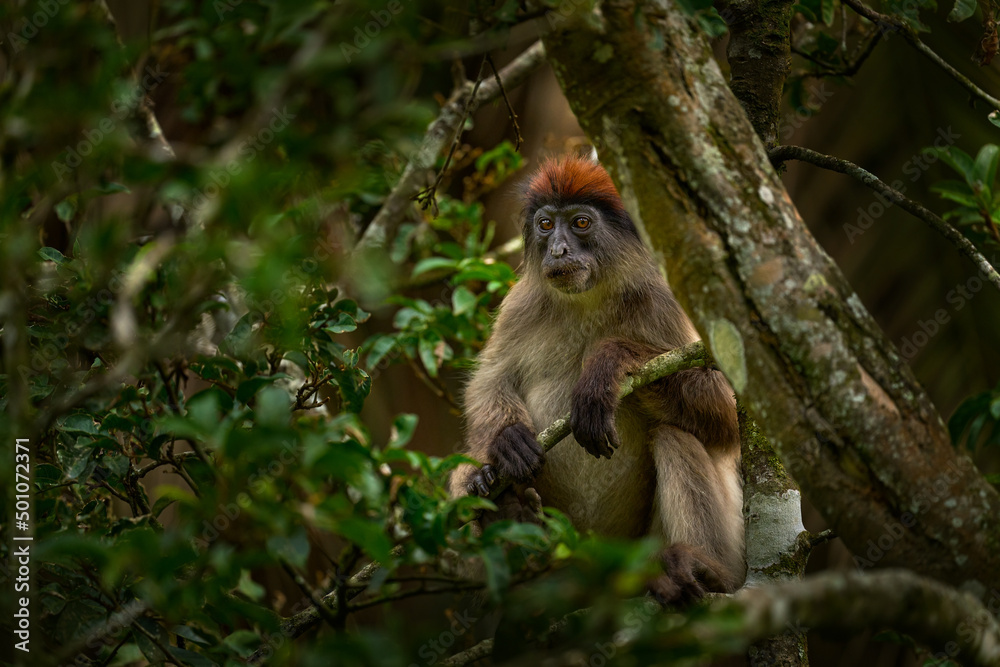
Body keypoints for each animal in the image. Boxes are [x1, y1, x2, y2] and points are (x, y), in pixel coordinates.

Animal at [448, 155, 745, 604]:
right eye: (546, 224)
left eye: (581, 223)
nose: (558, 250)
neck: (590, 298)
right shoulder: (521, 304)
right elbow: (489, 381)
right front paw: (505, 440)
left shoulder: (663, 300)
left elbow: (728, 414)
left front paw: (606, 363)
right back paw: (502, 501)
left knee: (674, 437)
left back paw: (706, 572)